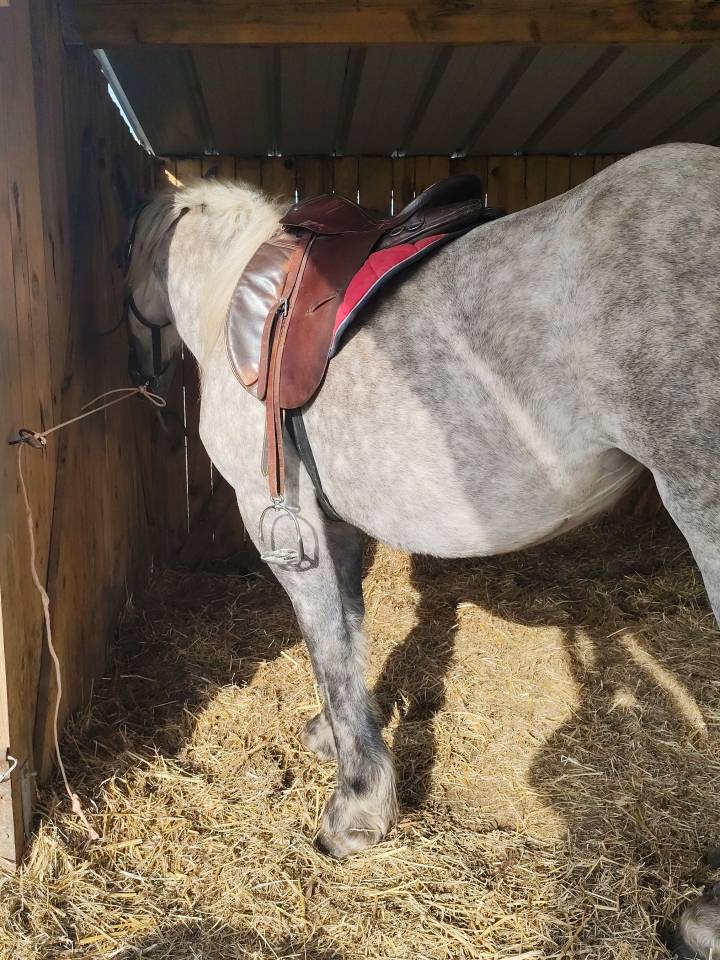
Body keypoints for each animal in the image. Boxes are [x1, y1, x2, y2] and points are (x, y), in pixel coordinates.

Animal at [124, 142, 720, 954]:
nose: (140, 375)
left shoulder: (280, 519)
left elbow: (326, 643)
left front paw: (355, 813)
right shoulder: (332, 523)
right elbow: (345, 639)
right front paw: (335, 741)